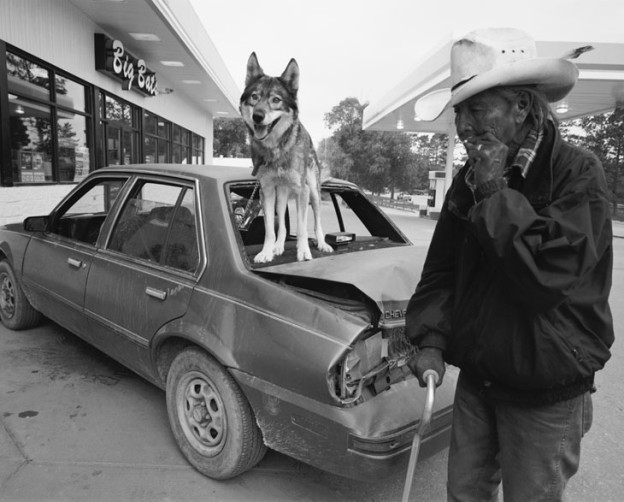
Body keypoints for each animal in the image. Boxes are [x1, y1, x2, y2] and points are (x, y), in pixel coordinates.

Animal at [239, 51, 332, 264]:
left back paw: (323, 244)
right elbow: (269, 231)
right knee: (281, 224)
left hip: (313, 193)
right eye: (254, 97)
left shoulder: (302, 191)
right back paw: (278, 246)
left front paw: (303, 252)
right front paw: (266, 252)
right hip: (280, 197)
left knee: (317, 223)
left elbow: (302, 229)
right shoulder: (266, 191)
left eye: (276, 100)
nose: (258, 116)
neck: (277, 150)